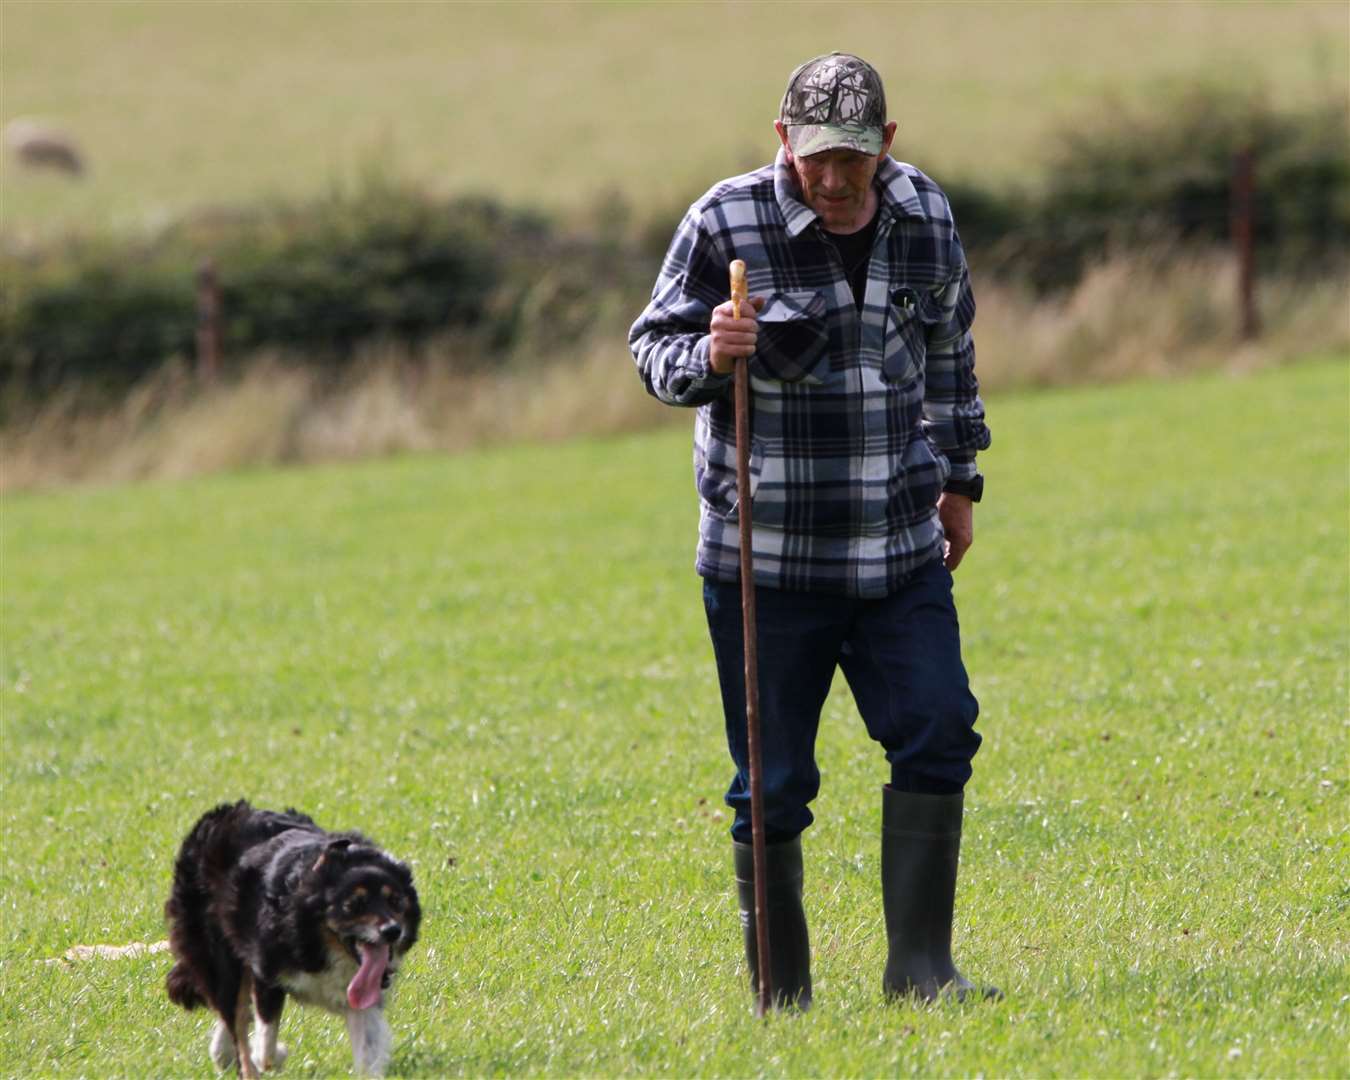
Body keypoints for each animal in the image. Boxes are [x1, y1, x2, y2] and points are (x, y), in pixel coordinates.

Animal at [168, 799, 421, 1074]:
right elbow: (265, 1047)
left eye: (396, 901)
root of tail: (220, 813)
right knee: (233, 1016)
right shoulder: (266, 973)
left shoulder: (361, 996)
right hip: (218, 957)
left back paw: (221, 1052)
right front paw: (274, 1055)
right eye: (353, 905)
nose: (392, 931)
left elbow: (368, 1052)